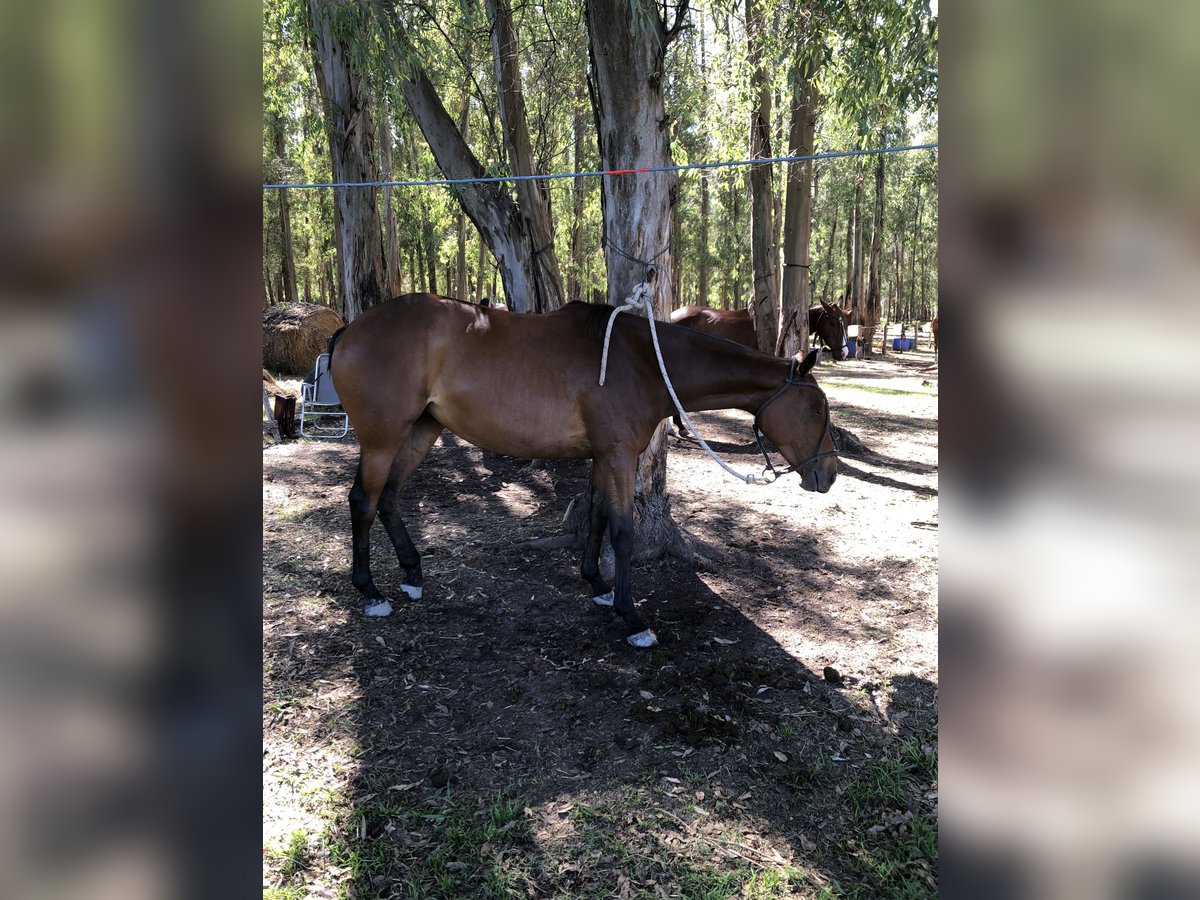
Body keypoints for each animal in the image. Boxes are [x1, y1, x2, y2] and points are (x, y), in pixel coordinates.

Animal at [324, 296, 840, 648]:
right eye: (816, 407)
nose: (830, 474)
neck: (644, 361)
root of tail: (349, 330)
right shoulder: (619, 456)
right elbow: (623, 530)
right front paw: (632, 617)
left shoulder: (602, 457)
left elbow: (597, 517)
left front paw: (598, 584)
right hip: (384, 439)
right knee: (364, 501)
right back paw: (370, 591)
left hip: (421, 430)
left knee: (389, 497)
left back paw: (412, 573)